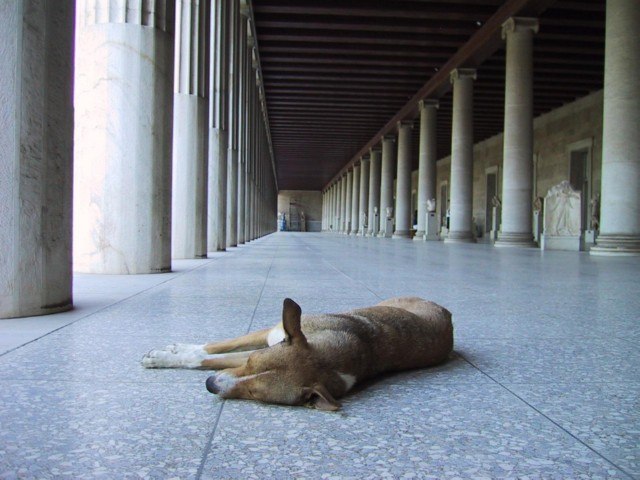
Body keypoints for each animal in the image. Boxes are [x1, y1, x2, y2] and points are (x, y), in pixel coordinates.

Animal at [142, 294, 452, 410]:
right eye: (251, 362)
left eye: (255, 393)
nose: (210, 385)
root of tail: (446, 312)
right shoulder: (269, 334)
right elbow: (216, 346)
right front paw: (174, 350)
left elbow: (207, 359)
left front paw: (164, 357)